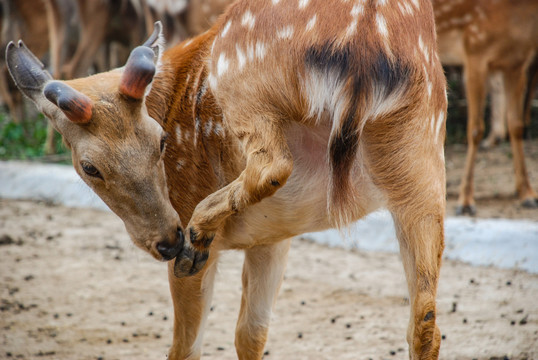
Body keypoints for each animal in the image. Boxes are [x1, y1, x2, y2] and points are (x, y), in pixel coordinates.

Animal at [8, 0, 446, 360]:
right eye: (90, 166)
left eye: (162, 140)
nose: (167, 241)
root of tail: (367, 37)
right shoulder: (276, 236)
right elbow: (251, 334)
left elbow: (186, 347)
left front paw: (192, 243)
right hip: (421, 157)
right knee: (426, 324)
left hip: (245, 80)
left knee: (272, 164)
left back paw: (200, 230)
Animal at [432, 0, 536, 214]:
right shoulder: (474, 49)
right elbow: (475, 129)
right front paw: (465, 201)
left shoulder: (517, 62)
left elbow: (517, 126)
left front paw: (528, 194)